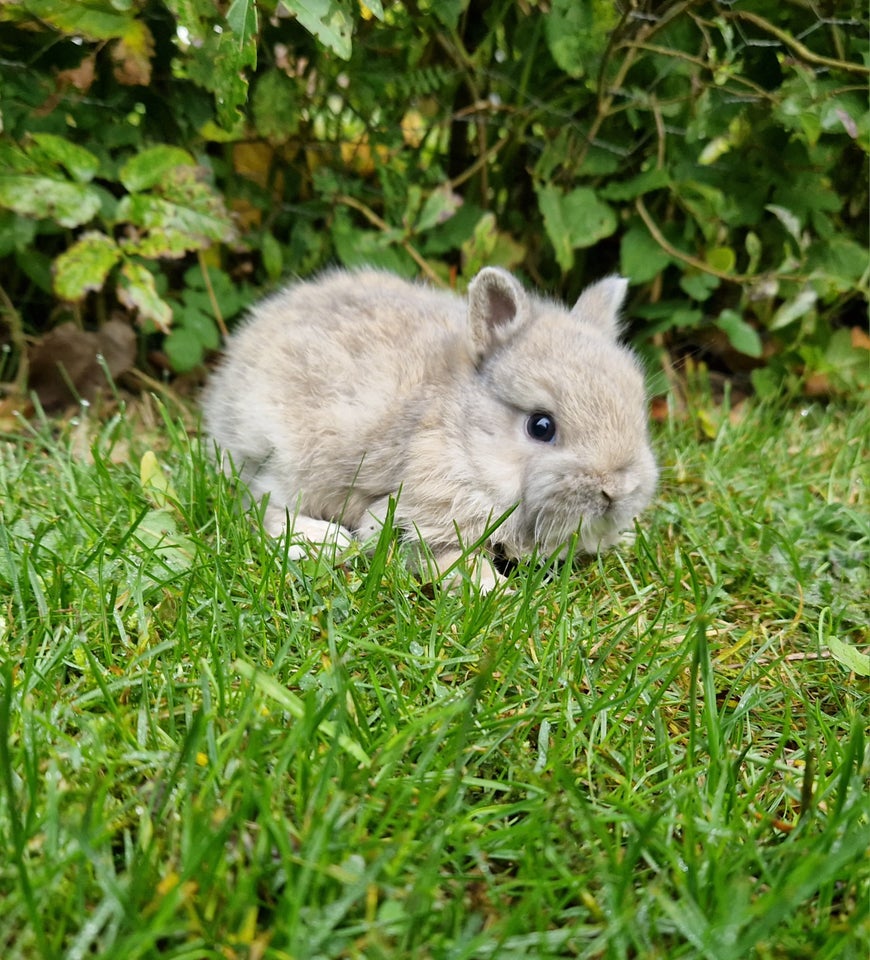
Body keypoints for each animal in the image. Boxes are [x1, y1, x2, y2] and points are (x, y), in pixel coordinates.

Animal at [201, 266, 656, 588]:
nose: (617, 490)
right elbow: (456, 562)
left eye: (638, 409)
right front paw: (499, 595)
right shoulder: (421, 518)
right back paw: (327, 540)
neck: (463, 436)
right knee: (258, 507)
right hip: (284, 457)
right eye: (541, 426)